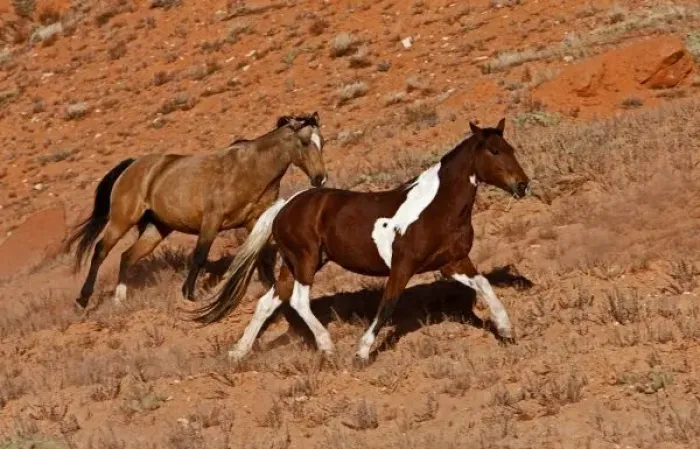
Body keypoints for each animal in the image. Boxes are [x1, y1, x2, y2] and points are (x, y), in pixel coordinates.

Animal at [64, 112, 327, 309]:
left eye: (322, 142)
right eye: (304, 142)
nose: (320, 179)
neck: (251, 169)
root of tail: (132, 165)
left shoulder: (255, 220)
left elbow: (261, 254)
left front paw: (271, 286)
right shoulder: (212, 221)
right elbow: (200, 256)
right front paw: (189, 294)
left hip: (156, 228)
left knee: (127, 256)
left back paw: (120, 299)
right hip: (122, 219)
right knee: (101, 250)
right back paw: (83, 298)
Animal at [193, 118, 531, 363]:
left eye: (512, 148)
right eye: (494, 151)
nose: (523, 185)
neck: (436, 207)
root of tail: (287, 204)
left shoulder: (453, 262)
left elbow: (484, 285)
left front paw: (506, 329)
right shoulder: (403, 267)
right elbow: (388, 304)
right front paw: (362, 351)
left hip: (294, 264)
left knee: (268, 302)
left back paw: (238, 353)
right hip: (306, 260)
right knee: (299, 300)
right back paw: (327, 347)